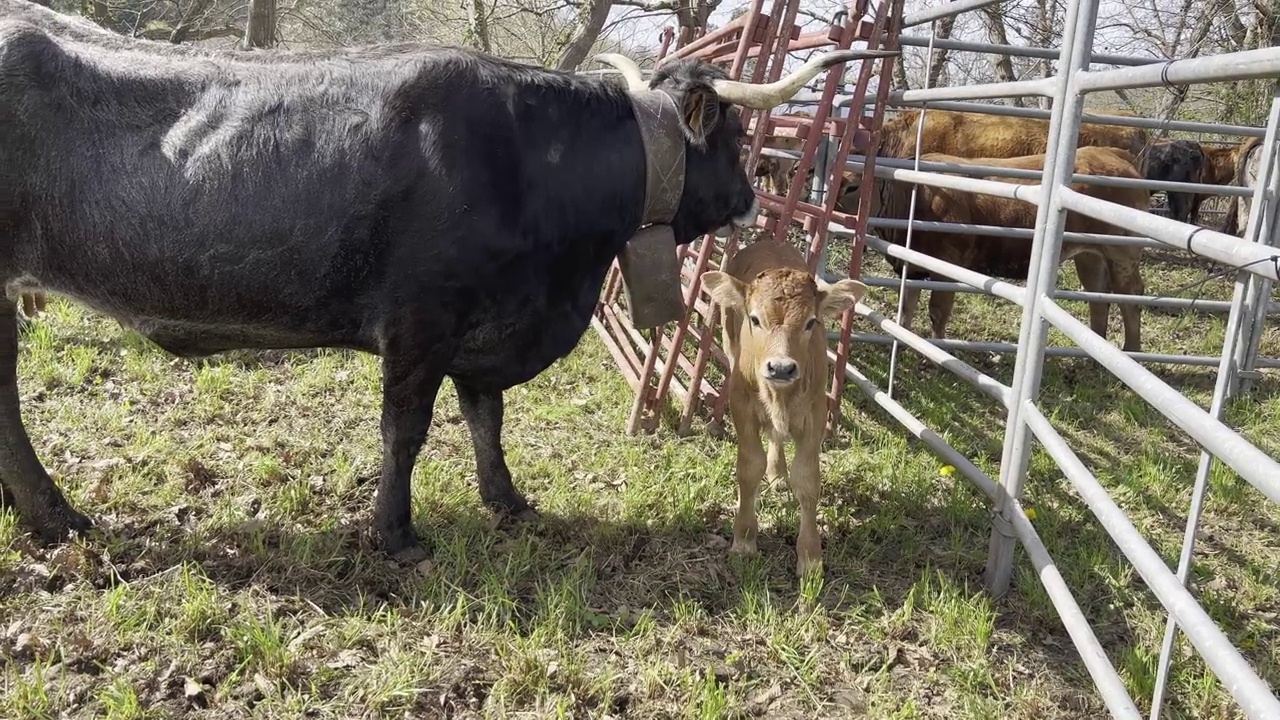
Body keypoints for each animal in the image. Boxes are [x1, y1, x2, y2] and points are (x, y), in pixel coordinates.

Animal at [701, 238, 870, 573]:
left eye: (811, 322)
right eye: (754, 319)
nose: (781, 368)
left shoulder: (816, 411)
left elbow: (807, 478)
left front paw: (810, 555)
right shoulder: (741, 403)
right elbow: (748, 467)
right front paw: (744, 539)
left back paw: (778, 472)